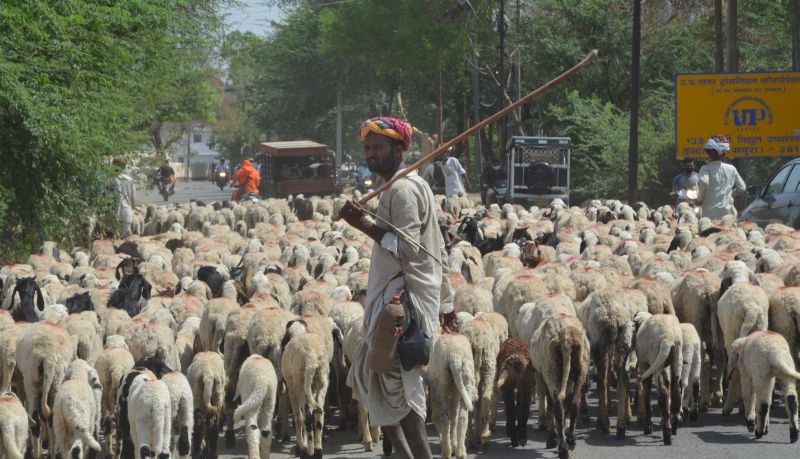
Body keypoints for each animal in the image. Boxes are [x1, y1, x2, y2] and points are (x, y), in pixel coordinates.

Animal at [15, 322, 74, 458]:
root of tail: (46, 355)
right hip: (55, 379)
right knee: (49, 418)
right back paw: (49, 453)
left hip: (32, 380)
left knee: (36, 420)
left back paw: (38, 453)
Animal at [529, 314, 589, 458]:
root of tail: (567, 336)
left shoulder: (544, 376)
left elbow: (551, 407)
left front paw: (552, 439)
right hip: (581, 369)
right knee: (574, 404)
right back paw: (571, 441)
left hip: (551, 370)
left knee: (557, 407)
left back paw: (562, 447)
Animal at [631, 312, 683, 445]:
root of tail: (668, 337)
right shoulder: (664, 366)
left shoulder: (644, 365)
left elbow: (646, 393)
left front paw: (648, 427)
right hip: (676, 359)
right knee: (675, 391)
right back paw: (674, 425)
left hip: (655, 358)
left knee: (663, 395)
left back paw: (667, 434)